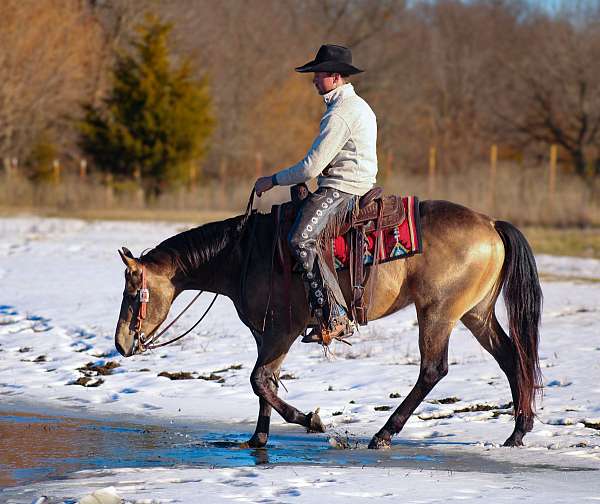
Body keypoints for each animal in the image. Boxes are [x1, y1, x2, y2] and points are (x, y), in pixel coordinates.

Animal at [113, 197, 544, 448]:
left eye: (134, 293)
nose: (121, 343)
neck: (244, 254)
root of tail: (492, 225)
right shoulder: (266, 334)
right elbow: (266, 382)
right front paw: (258, 438)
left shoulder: (282, 331)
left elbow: (258, 380)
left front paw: (310, 420)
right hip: (476, 313)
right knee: (512, 358)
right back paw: (518, 432)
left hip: (437, 312)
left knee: (433, 369)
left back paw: (384, 434)